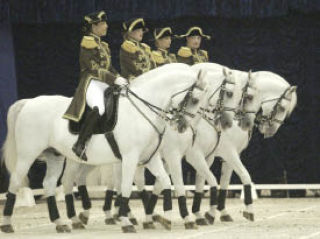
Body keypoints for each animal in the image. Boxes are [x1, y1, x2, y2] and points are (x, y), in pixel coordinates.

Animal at [1, 63, 211, 233]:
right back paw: (7, 224)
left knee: (49, 185)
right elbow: (125, 187)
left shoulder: (150, 157)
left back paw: (61, 223)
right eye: (194, 100)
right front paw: (126, 222)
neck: (142, 110)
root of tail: (29, 102)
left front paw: (168, 218)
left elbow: (166, 183)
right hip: (28, 155)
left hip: (56, 156)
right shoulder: (130, 158)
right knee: (16, 181)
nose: (182, 126)